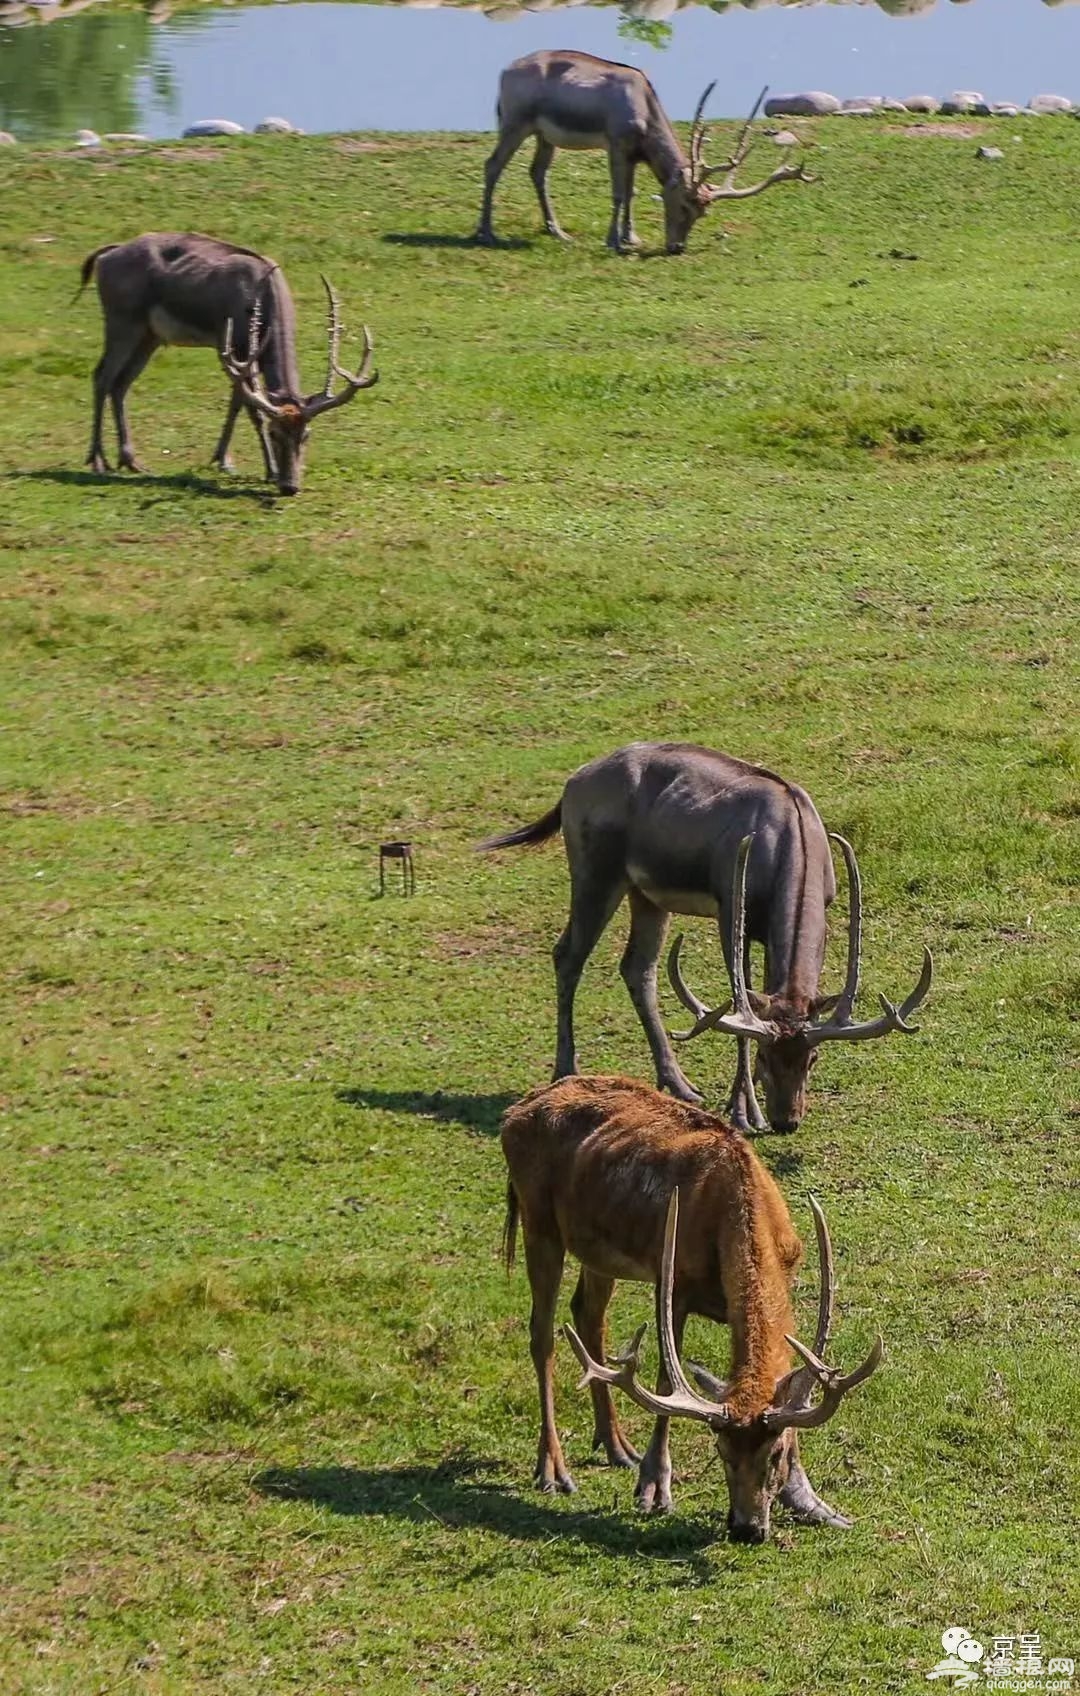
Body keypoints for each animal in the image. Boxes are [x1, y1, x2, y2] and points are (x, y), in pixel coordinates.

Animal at [76, 228, 379, 491]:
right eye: (275, 434)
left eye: (306, 435)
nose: (290, 486)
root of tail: (106, 255)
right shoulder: (232, 347)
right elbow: (253, 408)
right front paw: (269, 470)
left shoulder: (241, 356)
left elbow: (237, 402)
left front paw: (223, 459)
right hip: (122, 320)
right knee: (102, 375)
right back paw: (98, 460)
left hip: (149, 335)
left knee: (121, 384)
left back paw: (130, 460)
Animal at [474, 57, 807, 256]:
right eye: (685, 205)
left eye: (702, 213)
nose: (676, 246)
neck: (644, 110)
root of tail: (504, 71)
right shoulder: (616, 142)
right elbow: (619, 194)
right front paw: (613, 241)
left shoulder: (635, 154)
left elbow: (632, 194)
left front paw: (630, 237)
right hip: (515, 121)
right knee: (492, 165)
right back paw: (486, 232)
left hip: (545, 135)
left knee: (538, 172)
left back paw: (557, 231)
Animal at [474, 739, 929, 1126]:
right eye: (765, 1057)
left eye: (812, 1058)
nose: (786, 1120)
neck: (791, 846)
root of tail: (573, 782)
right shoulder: (730, 909)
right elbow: (739, 999)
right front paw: (744, 1110)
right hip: (594, 870)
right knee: (568, 954)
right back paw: (566, 1071)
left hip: (646, 895)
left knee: (637, 967)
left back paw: (677, 1083)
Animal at [501, 1078, 881, 1546]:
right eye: (720, 1450)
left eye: (775, 1454)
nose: (745, 1528)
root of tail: (514, 1112)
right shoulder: (674, 1282)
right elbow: (666, 1378)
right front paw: (654, 1489)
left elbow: (791, 1381)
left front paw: (814, 1504)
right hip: (538, 1221)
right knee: (542, 1334)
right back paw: (554, 1470)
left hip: (596, 1249)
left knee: (588, 1317)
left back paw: (616, 1446)